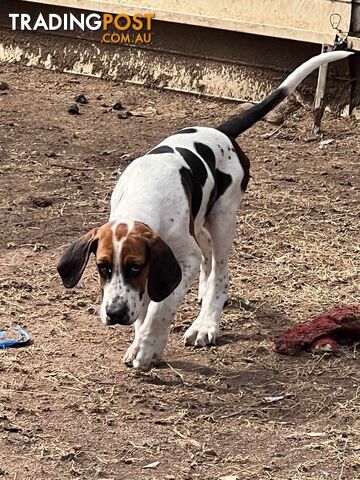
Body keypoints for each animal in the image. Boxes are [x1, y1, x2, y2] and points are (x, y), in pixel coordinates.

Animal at [57, 50, 352, 370]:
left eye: (135, 266)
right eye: (102, 267)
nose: (115, 314)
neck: (143, 199)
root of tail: (221, 132)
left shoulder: (181, 261)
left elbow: (161, 307)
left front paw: (147, 347)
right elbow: (148, 305)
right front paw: (142, 341)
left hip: (223, 218)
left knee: (220, 273)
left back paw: (206, 323)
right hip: (200, 220)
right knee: (207, 257)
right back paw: (202, 292)